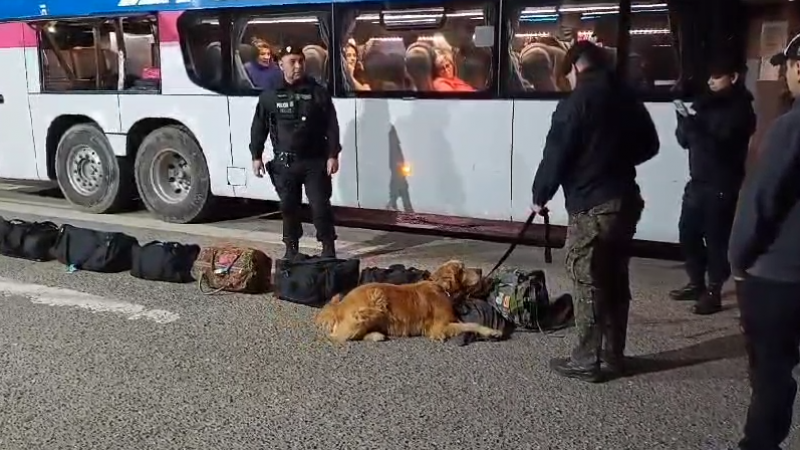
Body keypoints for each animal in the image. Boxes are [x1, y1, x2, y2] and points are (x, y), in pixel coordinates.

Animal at [316, 258, 504, 342]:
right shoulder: (439, 327)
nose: (480, 270)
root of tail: (339, 306)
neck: (440, 287)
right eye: (462, 269)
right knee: (338, 336)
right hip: (375, 301)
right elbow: (471, 324)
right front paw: (491, 331)